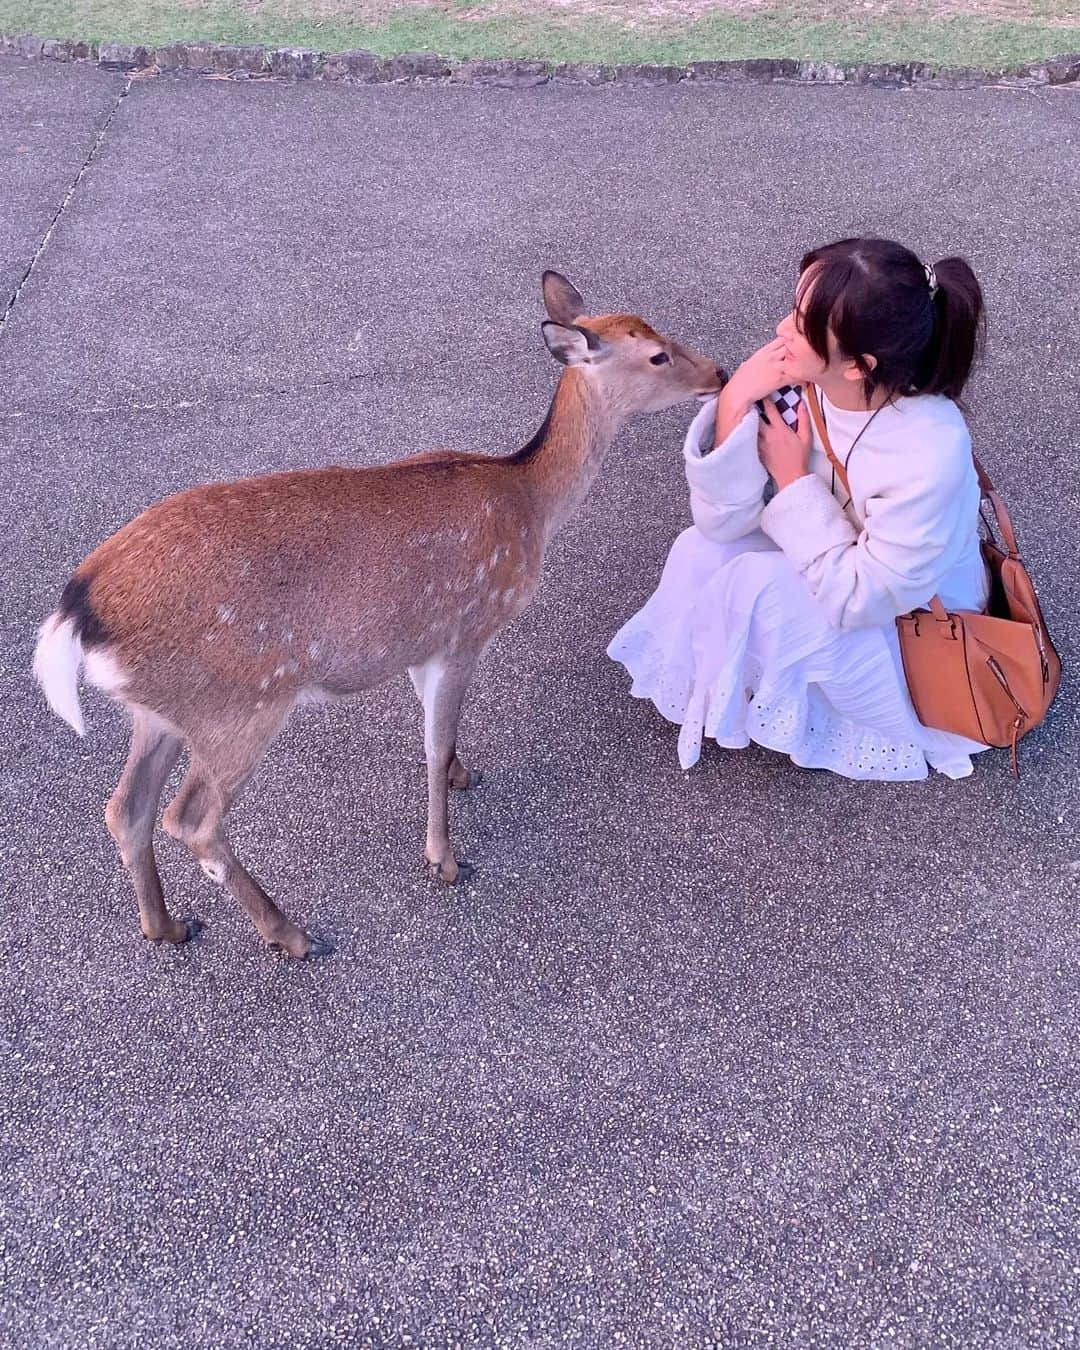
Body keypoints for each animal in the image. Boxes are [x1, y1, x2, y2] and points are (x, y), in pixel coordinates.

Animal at [35, 268, 723, 955]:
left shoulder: (420, 642)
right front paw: (444, 859)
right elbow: (434, 744)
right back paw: (291, 933)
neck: (529, 501)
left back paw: (168, 925)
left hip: (162, 710)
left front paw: (462, 777)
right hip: (239, 704)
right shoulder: (466, 627)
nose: (718, 371)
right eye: (656, 355)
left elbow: (436, 735)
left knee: (126, 809)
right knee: (191, 820)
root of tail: (78, 611)